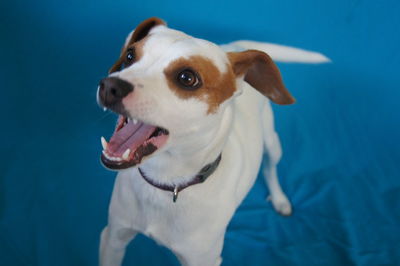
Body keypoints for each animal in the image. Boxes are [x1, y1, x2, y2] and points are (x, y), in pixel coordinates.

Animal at [97, 17, 328, 266]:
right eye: (130, 55)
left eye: (187, 78)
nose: (110, 86)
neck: (166, 182)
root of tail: (236, 47)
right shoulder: (113, 237)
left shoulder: (203, 259)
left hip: (272, 142)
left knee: (270, 168)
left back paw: (279, 199)